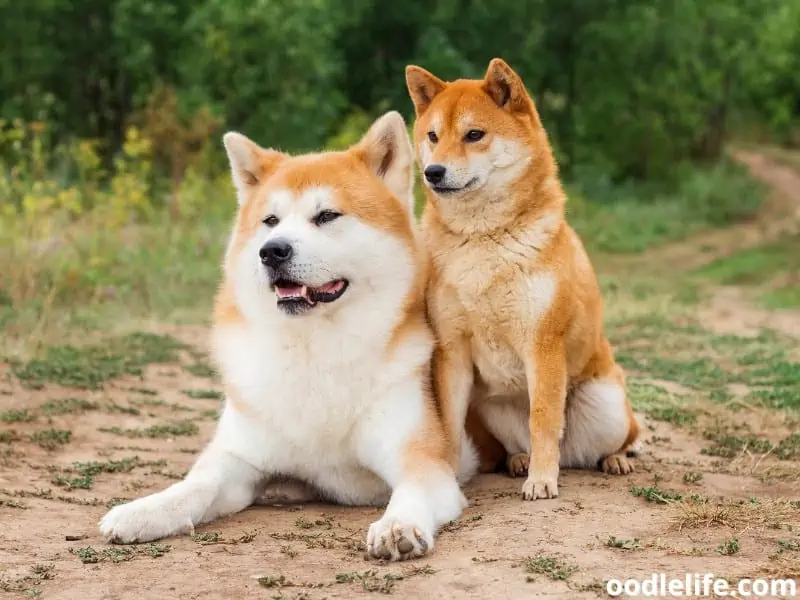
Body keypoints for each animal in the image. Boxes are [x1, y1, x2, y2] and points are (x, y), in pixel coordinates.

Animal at [100, 110, 476, 560]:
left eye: (327, 216)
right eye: (271, 221)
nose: (272, 251)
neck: (312, 349)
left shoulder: (422, 461)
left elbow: (410, 494)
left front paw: (397, 525)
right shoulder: (239, 460)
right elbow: (196, 485)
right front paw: (143, 511)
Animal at [404, 59, 640, 502]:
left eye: (474, 135)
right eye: (433, 136)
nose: (432, 172)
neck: (483, 240)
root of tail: (574, 455)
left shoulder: (542, 344)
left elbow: (543, 420)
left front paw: (543, 480)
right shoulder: (452, 352)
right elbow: (449, 426)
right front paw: (446, 479)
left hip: (608, 405)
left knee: (623, 437)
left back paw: (612, 460)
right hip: (490, 407)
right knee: (517, 443)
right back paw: (518, 461)